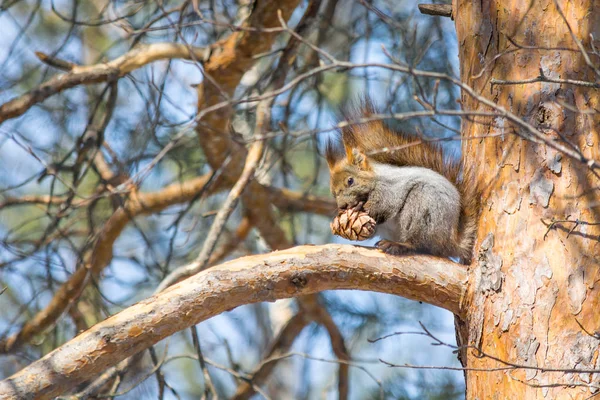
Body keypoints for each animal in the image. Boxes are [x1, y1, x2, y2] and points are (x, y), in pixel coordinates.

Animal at [326, 99, 480, 262]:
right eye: (333, 194)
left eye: (350, 181)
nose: (342, 206)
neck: (375, 179)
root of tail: (451, 242)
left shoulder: (390, 188)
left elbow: (384, 204)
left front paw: (360, 207)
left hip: (424, 206)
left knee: (421, 244)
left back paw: (400, 245)